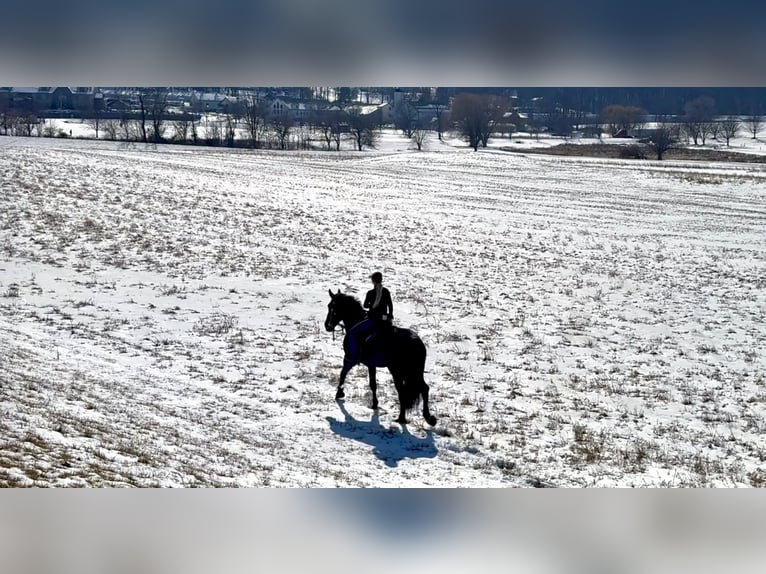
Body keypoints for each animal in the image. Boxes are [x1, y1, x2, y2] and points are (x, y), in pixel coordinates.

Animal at [324, 289, 437, 426]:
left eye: (332, 307)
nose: (327, 326)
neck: (356, 322)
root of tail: (417, 343)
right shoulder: (371, 364)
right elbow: (373, 384)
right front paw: (374, 404)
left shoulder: (349, 358)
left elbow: (343, 373)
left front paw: (339, 393)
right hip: (414, 372)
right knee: (424, 389)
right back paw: (428, 418)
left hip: (399, 372)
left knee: (403, 392)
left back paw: (402, 418)